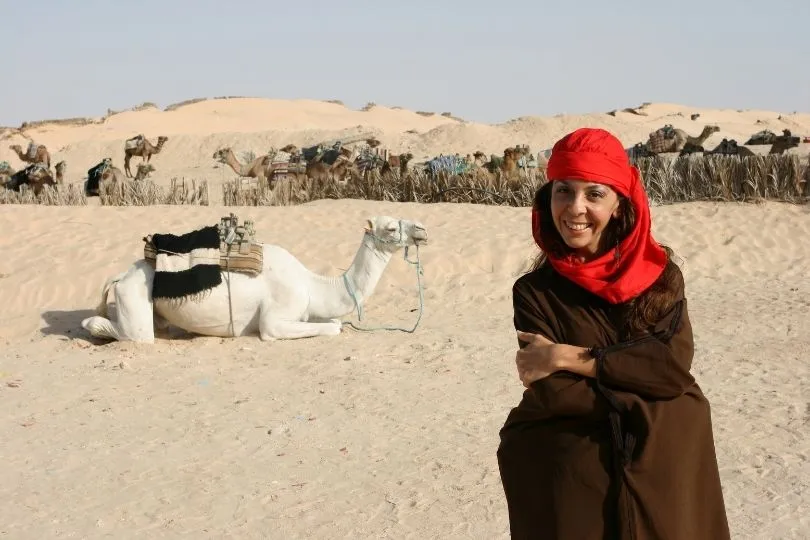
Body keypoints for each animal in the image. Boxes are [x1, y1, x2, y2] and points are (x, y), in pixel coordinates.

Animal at [79, 216, 426, 340]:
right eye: (390, 228)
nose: (422, 229)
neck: (312, 286)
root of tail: (121, 275)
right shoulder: (275, 319)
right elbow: (333, 327)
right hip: (134, 297)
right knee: (133, 333)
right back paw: (91, 325)